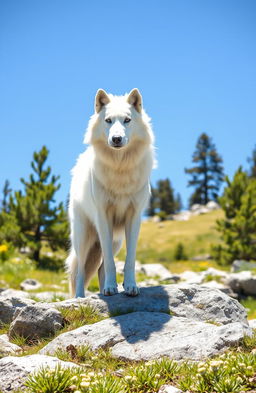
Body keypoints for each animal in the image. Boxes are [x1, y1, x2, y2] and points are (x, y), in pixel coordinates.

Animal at [65, 88, 155, 298]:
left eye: (127, 120)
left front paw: (130, 286)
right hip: (83, 238)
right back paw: (80, 297)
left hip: (116, 242)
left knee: (100, 269)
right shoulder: (103, 218)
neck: (119, 167)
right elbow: (110, 264)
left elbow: (129, 260)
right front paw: (110, 288)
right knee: (80, 271)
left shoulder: (134, 218)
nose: (116, 139)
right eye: (108, 120)